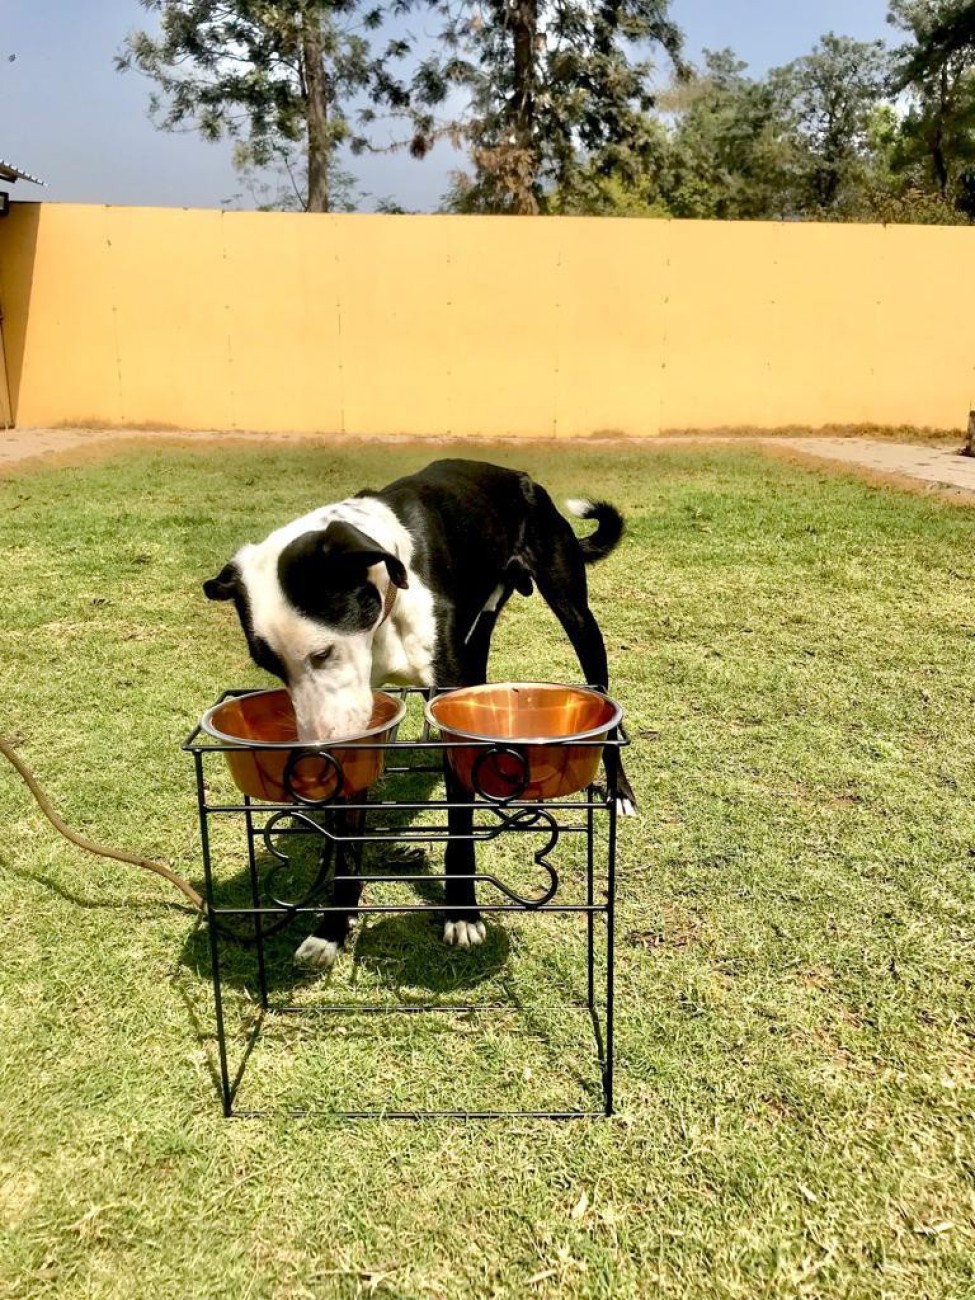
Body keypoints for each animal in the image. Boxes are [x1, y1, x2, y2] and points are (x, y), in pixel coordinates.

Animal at [206, 457, 634, 967]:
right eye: (270, 666)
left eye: (322, 653)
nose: (314, 747)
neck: (388, 585)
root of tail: (516, 476)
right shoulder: (362, 722)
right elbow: (347, 838)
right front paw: (332, 928)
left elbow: (459, 828)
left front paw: (463, 915)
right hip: (478, 632)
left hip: (576, 613)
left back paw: (620, 791)